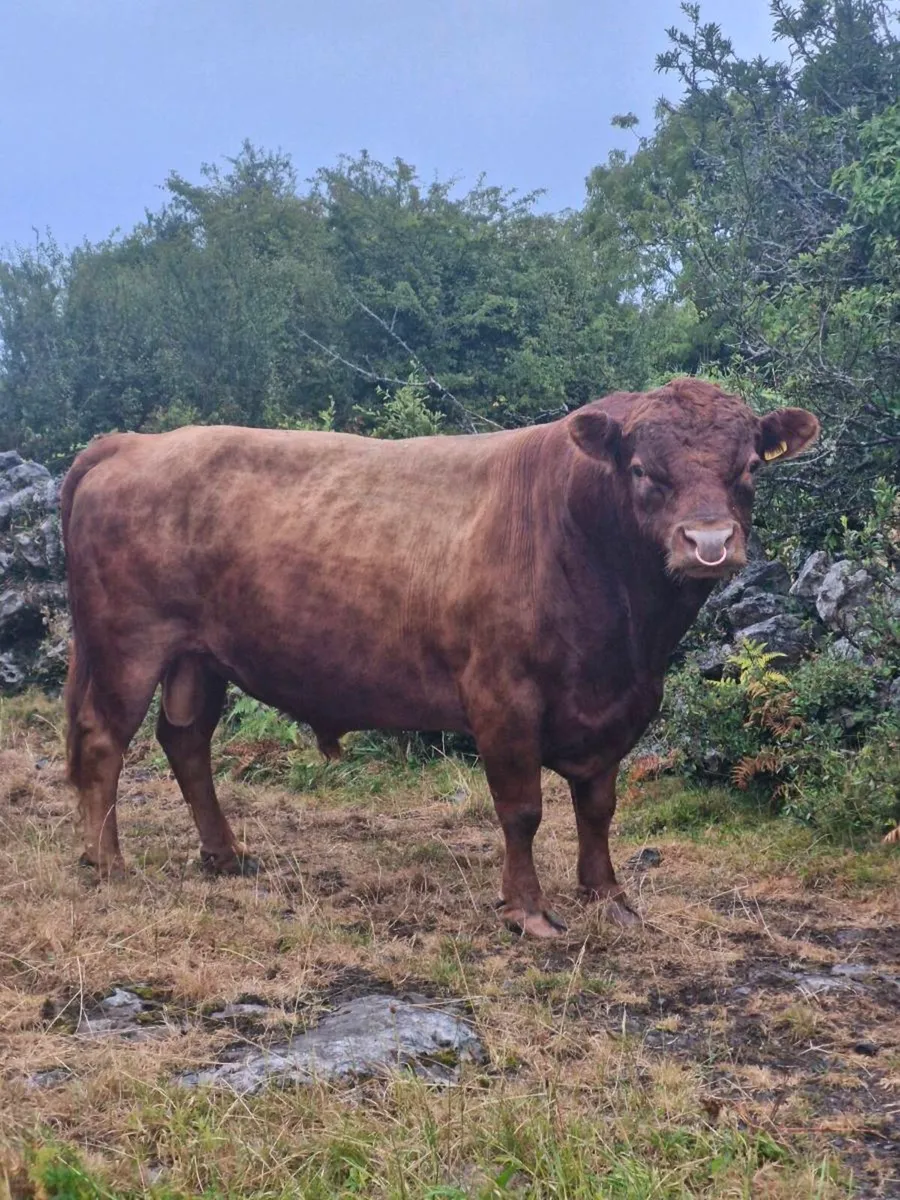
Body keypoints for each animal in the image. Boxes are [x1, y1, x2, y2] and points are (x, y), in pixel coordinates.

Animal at [61, 378, 819, 937]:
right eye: (642, 471)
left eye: (750, 468)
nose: (709, 543)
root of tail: (134, 442)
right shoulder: (502, 697)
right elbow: (522, 809)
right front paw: (528, 912)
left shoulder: (618, 707)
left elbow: (598, 806)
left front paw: (608, 897)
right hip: (128, 642)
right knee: (104, 740)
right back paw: (107, 863)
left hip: (200, 656)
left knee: (185, 740)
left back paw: (225, 855)